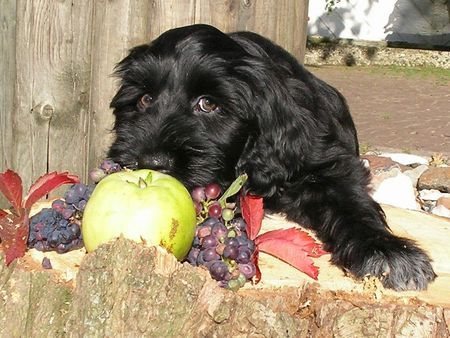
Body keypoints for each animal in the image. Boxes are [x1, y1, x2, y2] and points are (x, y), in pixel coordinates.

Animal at [108, 23, 436, 290]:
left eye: (208, 104)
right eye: (144, 99)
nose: (151, 163)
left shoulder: (328, 163)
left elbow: (352, 204)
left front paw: (390, 253)